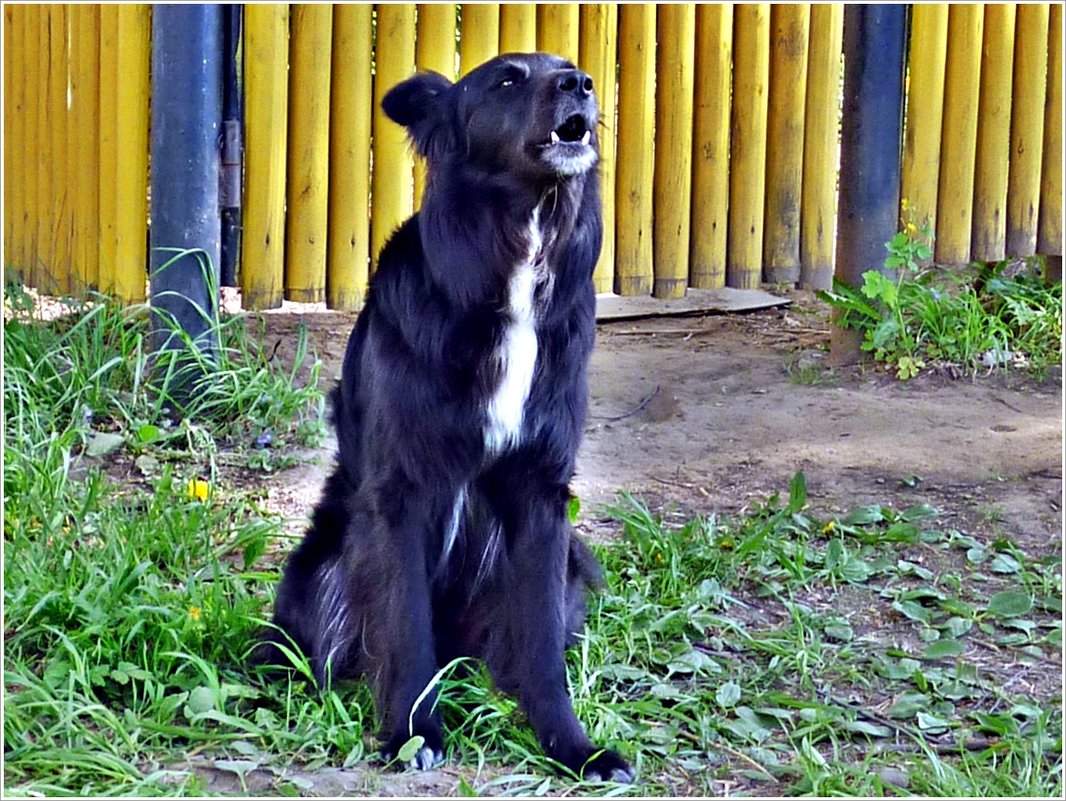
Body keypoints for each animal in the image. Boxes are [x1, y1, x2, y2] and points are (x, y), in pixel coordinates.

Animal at [266, 51, 631, 785]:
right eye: (508, 79)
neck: (514, 260)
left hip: (567, 566)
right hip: (322, 568)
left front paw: (572, 746)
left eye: (569, 68)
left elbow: (542, 649)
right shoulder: (400, 494)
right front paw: (413, 735)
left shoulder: (542, 499)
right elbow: (405, 628)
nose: (581, 84)